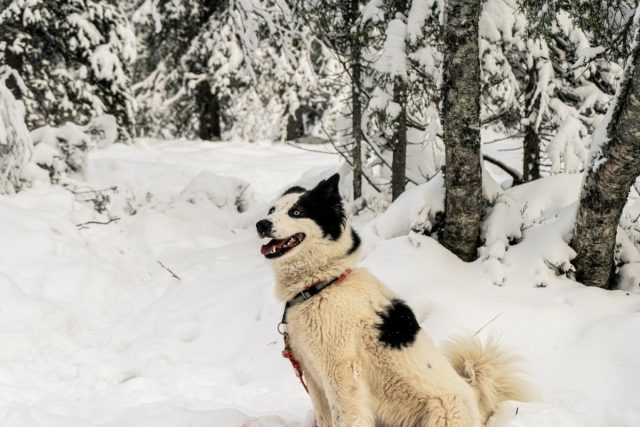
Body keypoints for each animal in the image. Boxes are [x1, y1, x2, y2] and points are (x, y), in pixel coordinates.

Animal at [258, 174, 528, 427]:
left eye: (296, 212)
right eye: (271, 210)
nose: (261, 224)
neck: (322, 285)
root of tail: (476, 403)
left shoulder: (342, 374)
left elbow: (345, 417)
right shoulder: (313, 374)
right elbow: (326, 418)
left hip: (439, 413)